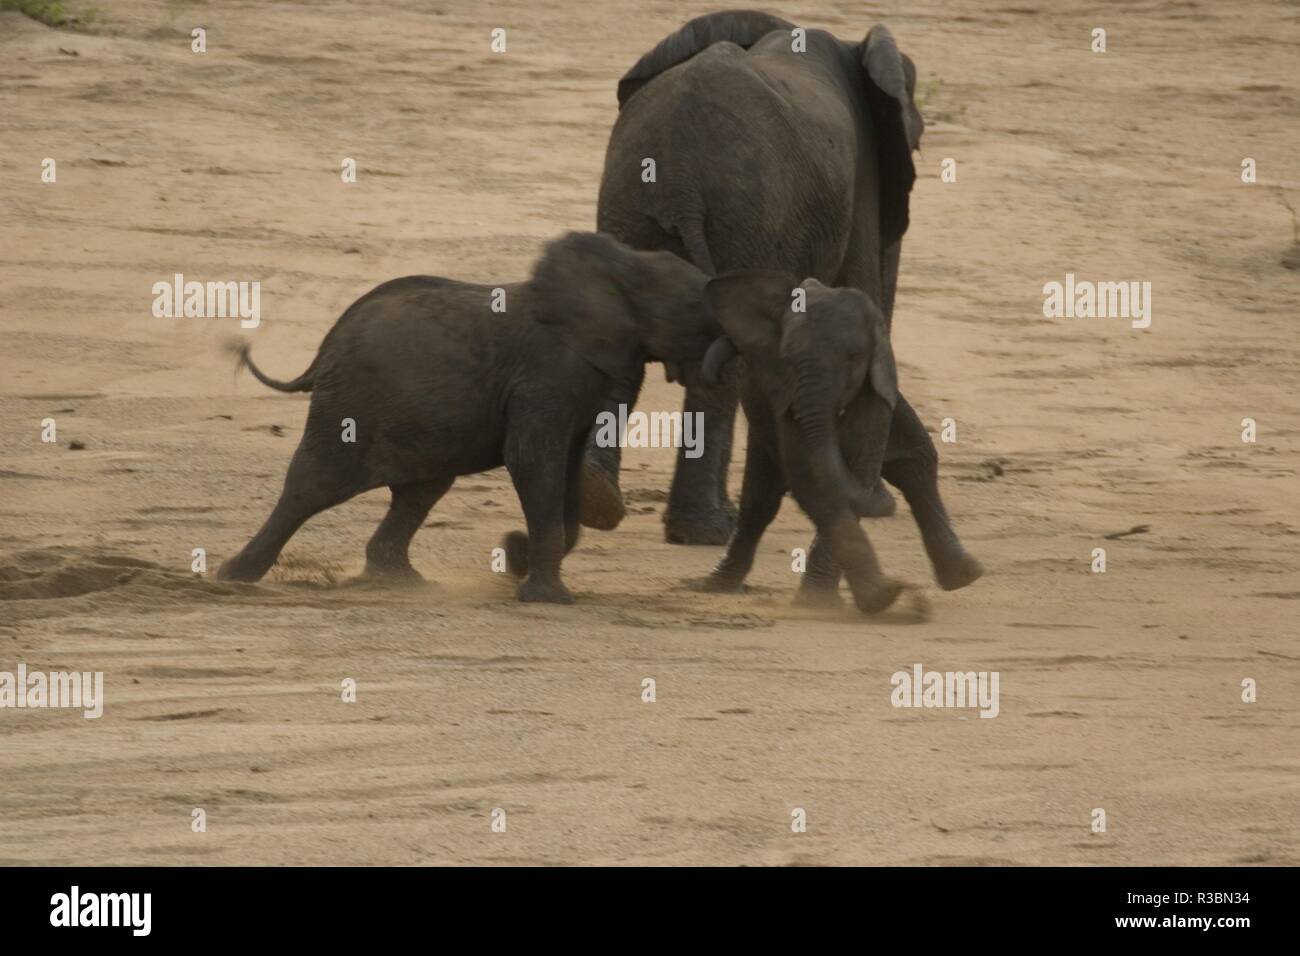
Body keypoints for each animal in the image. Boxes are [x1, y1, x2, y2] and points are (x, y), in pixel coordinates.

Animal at [217, 231, 717, 600]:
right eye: (695, 305)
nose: (509, 545)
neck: (626, 265)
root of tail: (323, 350)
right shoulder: (545, 374)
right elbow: (533, 460)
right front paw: (545, 595)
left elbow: (569, 468)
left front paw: (518, 558)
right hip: (349, 403)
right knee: (315, 485)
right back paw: (233, 576)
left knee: (420, 492)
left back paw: (400, 581)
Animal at [579, 9, 977, 590]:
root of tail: (678, 176)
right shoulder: (860, 190)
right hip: (748, 217)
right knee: (723, 366)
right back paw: (704, 531)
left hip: (632, 205)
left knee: (627, 341)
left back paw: (598, 502)